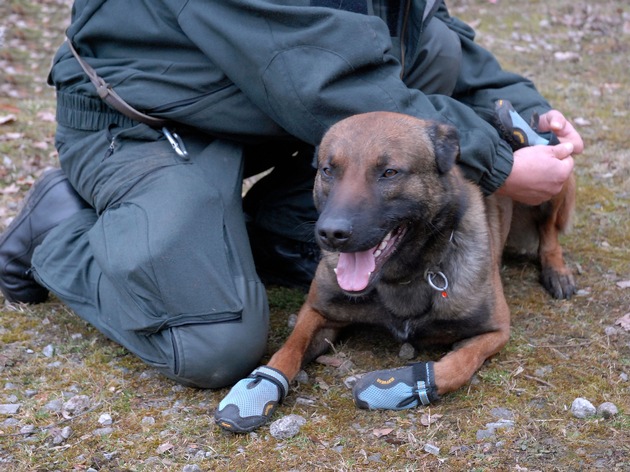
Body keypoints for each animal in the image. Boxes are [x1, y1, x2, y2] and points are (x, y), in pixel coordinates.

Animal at [217, 109, 576, 432]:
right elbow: (288, 350)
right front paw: (257, 389)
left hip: (556, 179)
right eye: (328, 170)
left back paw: (556, 270)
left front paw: (400, 385)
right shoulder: (318, 311)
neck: (401, 276)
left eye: (389, 172)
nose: (330, 233)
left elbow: (457, 365)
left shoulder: (495, 331)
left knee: (548, 232)